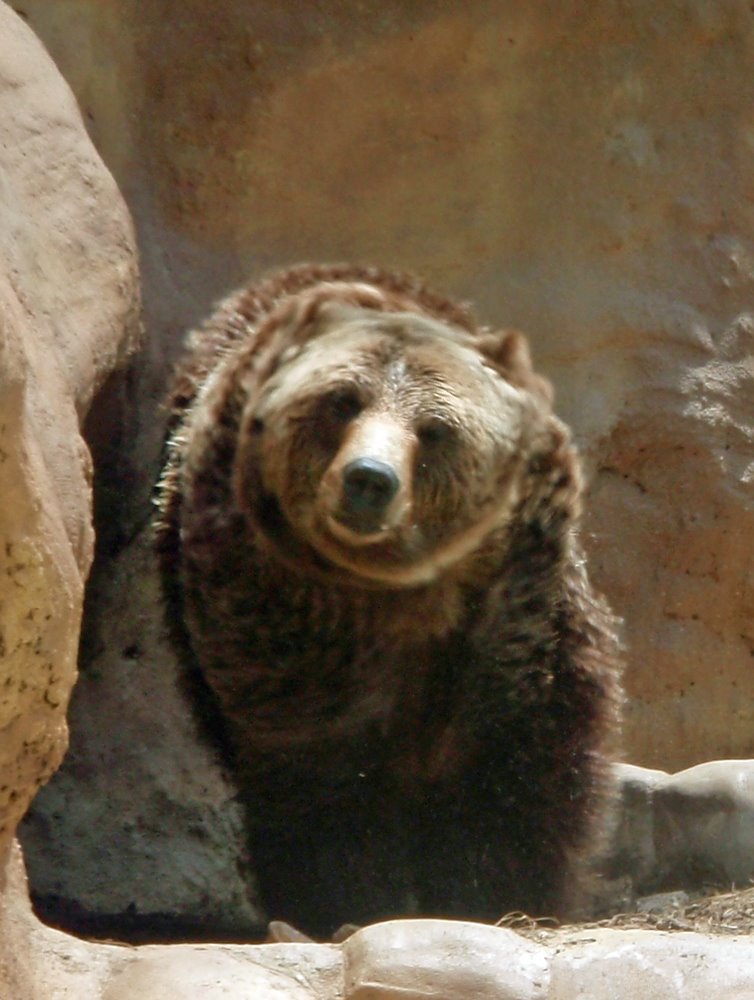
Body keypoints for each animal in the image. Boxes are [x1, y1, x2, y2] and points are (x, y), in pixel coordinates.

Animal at [155, 263, 622, 939]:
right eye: (340, 402)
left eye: (434, 430)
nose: (369, 478)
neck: (403, 601)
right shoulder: (281, 635)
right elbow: (324, 783)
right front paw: (349, 900)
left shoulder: (516, 622)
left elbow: (518, 769)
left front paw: (499, 893)